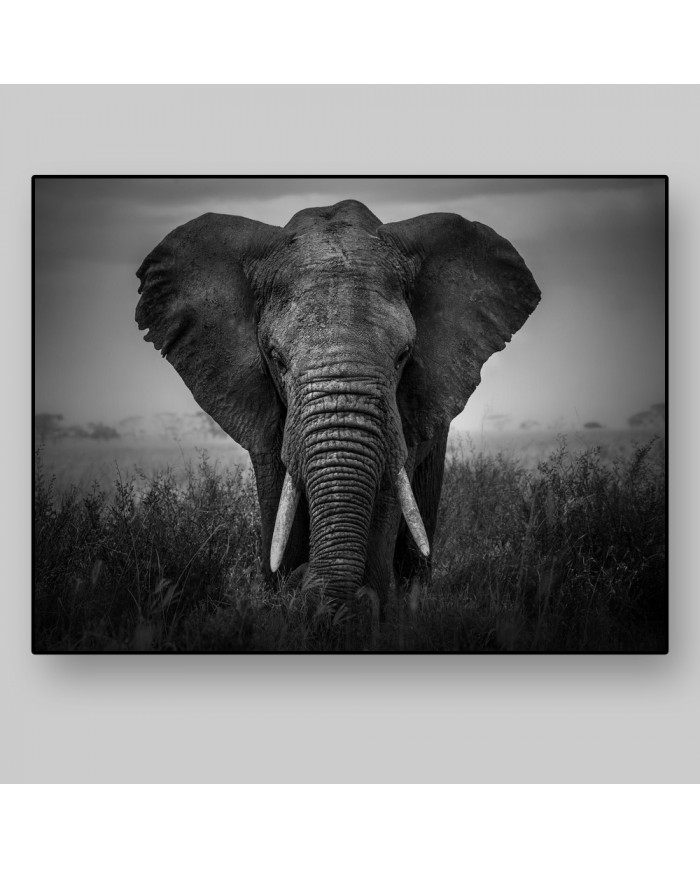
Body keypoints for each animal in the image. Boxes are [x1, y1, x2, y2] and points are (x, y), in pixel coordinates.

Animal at [135, 199, 540, 611]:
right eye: (277, 359)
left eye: (403, 356)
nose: (304, 583)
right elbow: (278, 488)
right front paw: (284, 597)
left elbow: (388, 487)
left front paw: (360, 608)